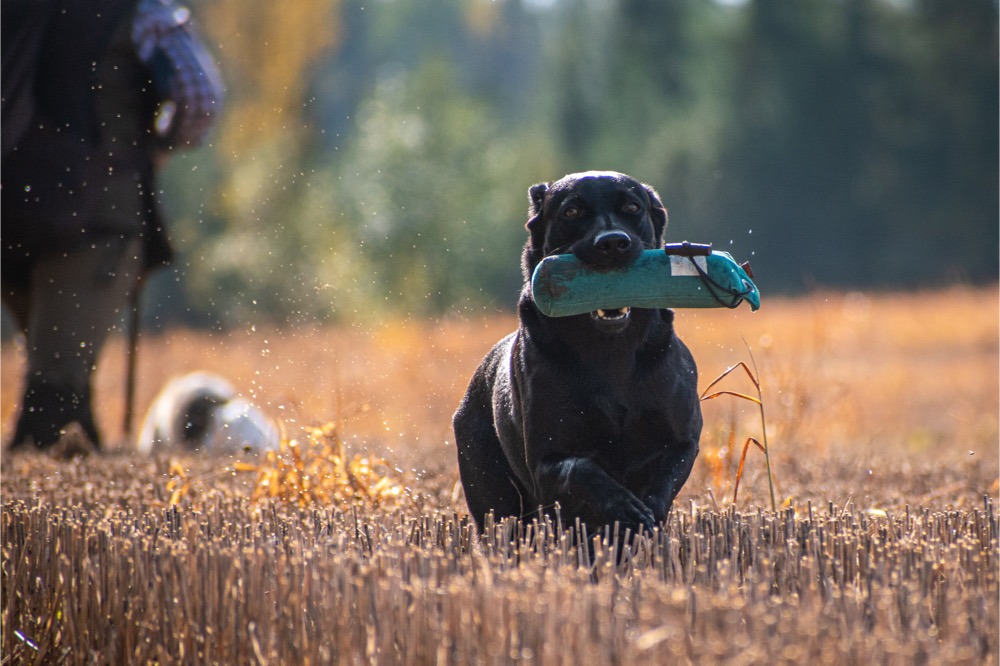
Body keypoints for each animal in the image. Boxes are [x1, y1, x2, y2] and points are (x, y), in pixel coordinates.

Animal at [456, 170, 704, 536]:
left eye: (633, 207)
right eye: (571, 212)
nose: (612, 243)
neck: (610, 351)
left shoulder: (682, 442)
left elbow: (663, 481)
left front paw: (646, 517)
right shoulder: (546, 462)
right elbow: (582, 470)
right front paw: (626, 507)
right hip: (495, 499)